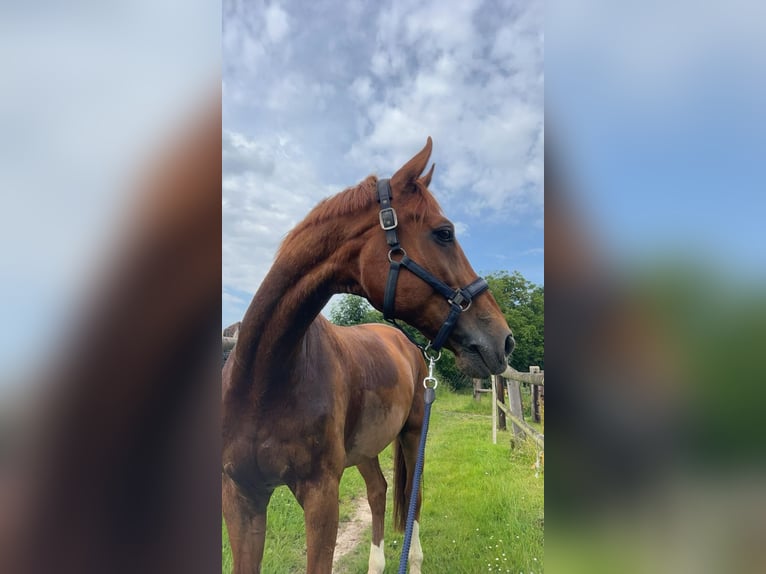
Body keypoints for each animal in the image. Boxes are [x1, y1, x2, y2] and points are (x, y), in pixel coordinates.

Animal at [222, 137, 514, 574]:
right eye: (444, 233)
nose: (505, 340)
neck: (264, 379)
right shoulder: (241, 498)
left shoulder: (321, 497)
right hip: (366, 448)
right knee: (379, 490)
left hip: (412, 434)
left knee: (413, 498)